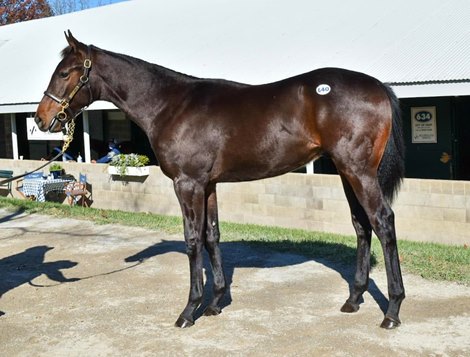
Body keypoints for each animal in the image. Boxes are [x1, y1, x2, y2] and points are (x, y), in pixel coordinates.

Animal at [35, 32, 406, 330]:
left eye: (65, 72)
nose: (41, 119)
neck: (170, 105)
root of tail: (378, 86)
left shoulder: (187, 184)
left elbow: (192, 240)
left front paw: (189, 310)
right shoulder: (208, 185)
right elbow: (212, 237)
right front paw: (214, 303)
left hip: (358, 172)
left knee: (383, 222)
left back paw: (392, 311)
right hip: (347, 173)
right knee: (362, 226)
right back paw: (354, 299)